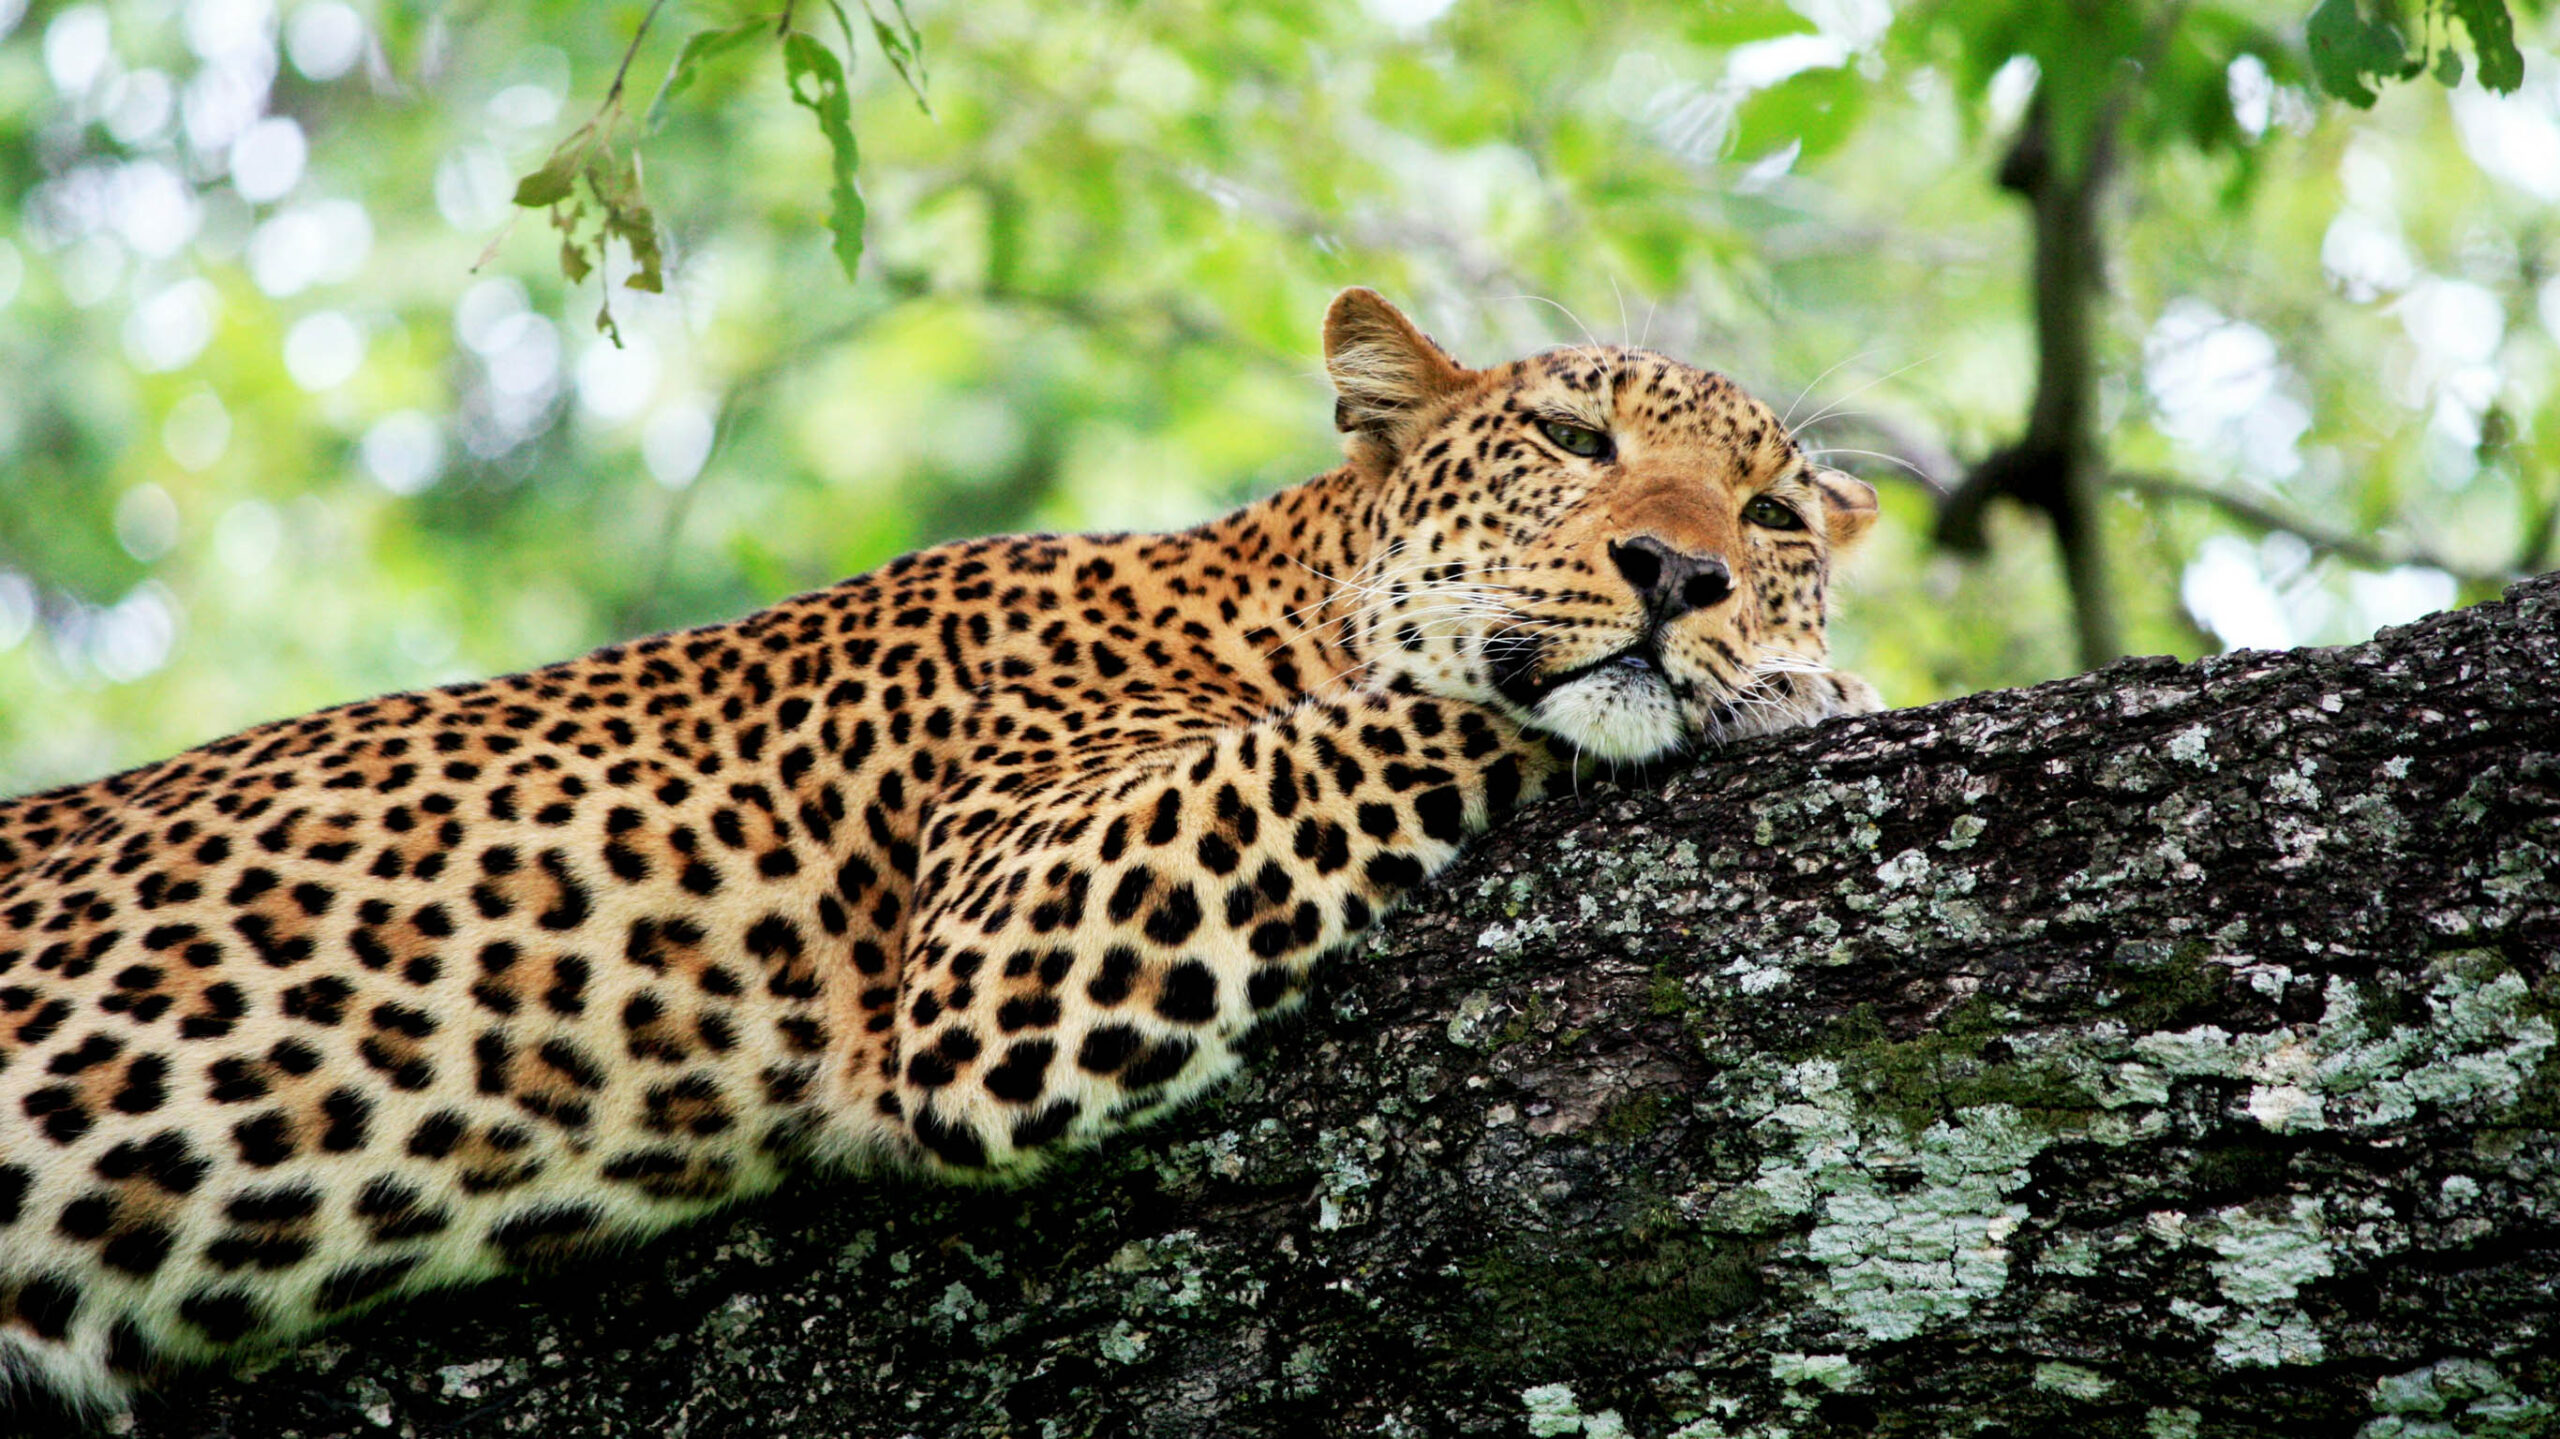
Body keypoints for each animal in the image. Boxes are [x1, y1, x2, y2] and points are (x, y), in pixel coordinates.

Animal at [0, 288, 1881, 1411]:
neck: (1260, 595)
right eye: (1572, 438)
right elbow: (1420, 715)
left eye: (1774, 513)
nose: (1687, 575)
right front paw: (1805, 683)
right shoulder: (1018, 932)